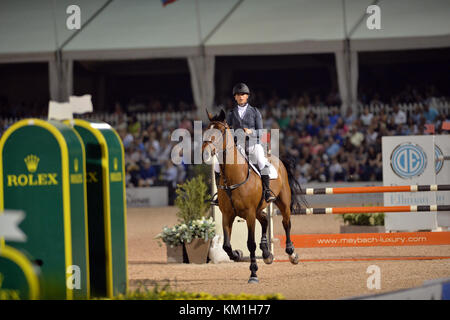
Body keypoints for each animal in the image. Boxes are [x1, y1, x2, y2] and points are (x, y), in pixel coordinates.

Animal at [203, 109, 306, 282]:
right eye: (205, 131)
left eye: (220, 132)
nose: (205, 152)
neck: (234, 177)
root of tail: (277, 159)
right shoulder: (227, 215)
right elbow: (226, 245)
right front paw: (237, 255)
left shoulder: (249, 214)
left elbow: (250, 243)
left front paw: (253, 273)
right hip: (258, 209)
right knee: (264, 220)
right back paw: (266, 253)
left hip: (282, 203)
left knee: (286, 223)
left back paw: (292, 254)